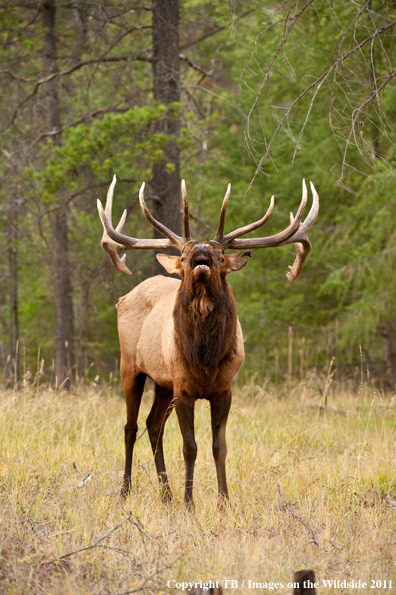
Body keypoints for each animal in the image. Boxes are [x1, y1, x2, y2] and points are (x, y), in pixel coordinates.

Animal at [98, 177, 318, 508]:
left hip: (163, 383)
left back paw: (166, 495)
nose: (200, 255)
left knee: (152, 426)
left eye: (220, 256)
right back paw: (126, 491)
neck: (204, 359)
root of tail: (124, 297)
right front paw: (190, 504)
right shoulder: (183, 389)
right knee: (130, 426)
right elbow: (190, 447)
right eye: (184, 256)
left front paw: (223, 503)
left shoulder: (223, 389)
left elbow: (219, 446)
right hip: (131, 367)